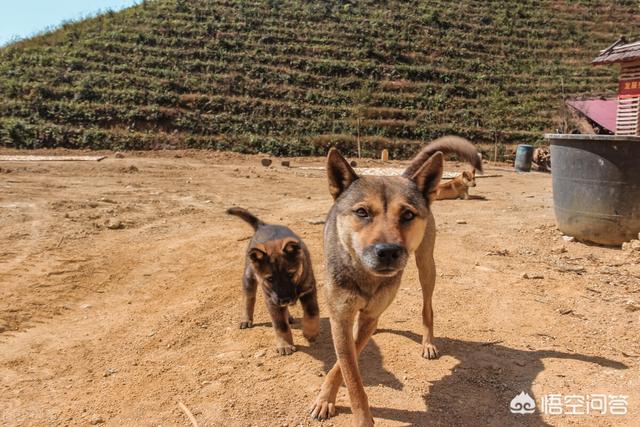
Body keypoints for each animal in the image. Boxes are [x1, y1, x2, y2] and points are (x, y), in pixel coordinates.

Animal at [229, 209, 320, 356]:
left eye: (290, 274)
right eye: (270, 279)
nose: (285, 299)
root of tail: (263, 226)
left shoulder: (308, 289)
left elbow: (312, 312)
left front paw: (310, 332)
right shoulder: (272, 300)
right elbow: (280, 325)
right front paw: (285, 345)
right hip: (249, 278)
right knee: (248, 299)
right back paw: (246, 319)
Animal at [308, 136, 480, 424]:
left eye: (408, 214)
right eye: (362, 212)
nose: (388, 251)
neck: (365, 275)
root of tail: (405, 175)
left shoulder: (364, 317)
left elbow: (344, 367)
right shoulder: (341, 319)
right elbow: (350, 373)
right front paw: (327, 400)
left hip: (426, 267)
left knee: (427, 307)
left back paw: (428, 342)